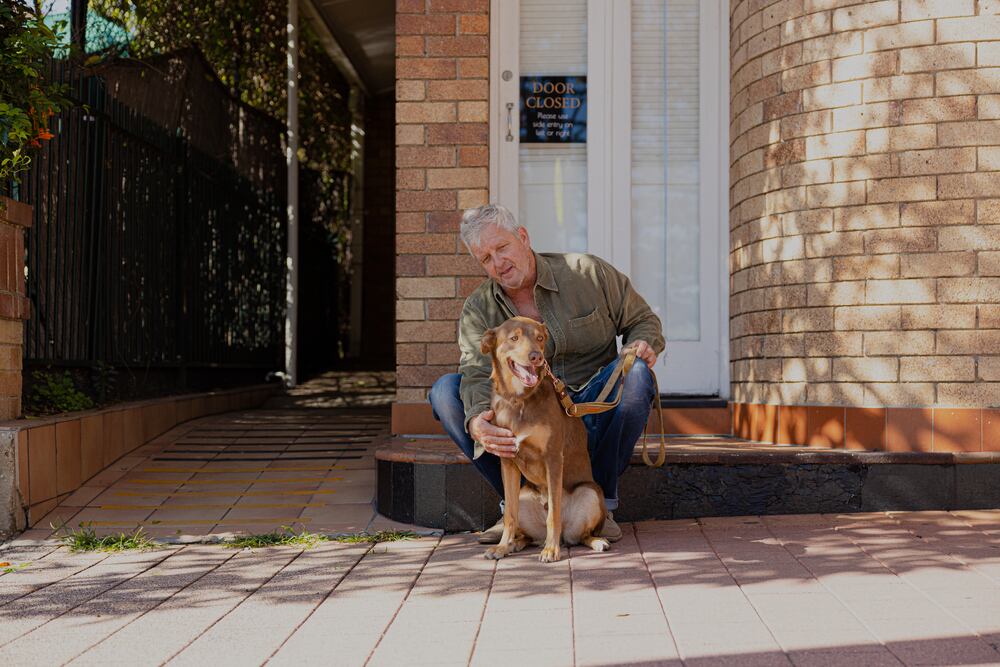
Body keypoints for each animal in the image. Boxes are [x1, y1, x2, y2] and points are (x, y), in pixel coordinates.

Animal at [479, 316, 609, 563]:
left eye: (539, 338)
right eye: (514, 338)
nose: (536, 356)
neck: (519, 399)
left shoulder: (553, 458)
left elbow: (554, 514)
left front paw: (551, 550)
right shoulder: (507, 460)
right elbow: (509, 515)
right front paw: (502, 546)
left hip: (590, 493)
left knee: (582, 535)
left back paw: (593, 541)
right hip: (523, 496)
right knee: (526, 534)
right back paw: (515, 544)